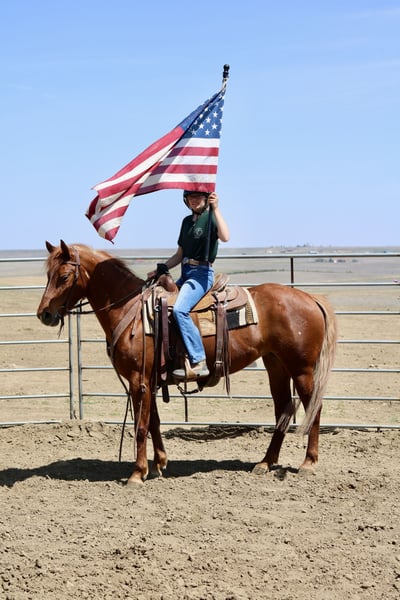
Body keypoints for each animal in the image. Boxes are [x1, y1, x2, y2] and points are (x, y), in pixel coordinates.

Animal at [37, 240, 337, 484]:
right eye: (48, 274)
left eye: (64, 276)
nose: (44, 314)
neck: (131, 310)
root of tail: (310, 297)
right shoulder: (150, 380)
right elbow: (154, 422)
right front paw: (159, 464)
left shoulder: (138, 380)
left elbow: (141, 426)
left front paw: (137, 474)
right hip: (276, 365)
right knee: (283, 409)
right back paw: (265, 462)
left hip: (302, 369)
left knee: (313, 408)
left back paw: (308, 463)